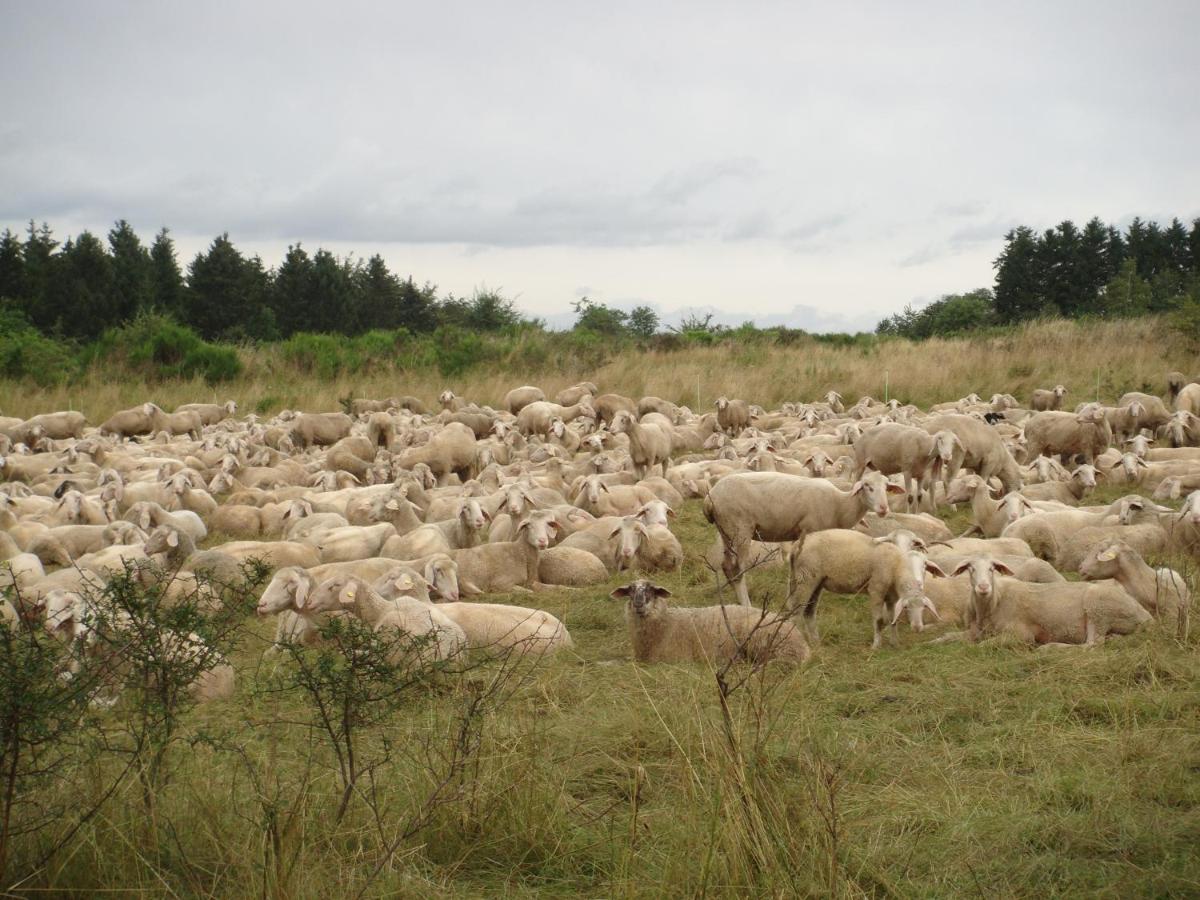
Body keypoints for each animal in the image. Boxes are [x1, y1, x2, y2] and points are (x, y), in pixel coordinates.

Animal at [945, 556, 1152, 648]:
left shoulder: (1021, 635)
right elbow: (947, 637)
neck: (994, 602)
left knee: (1092, 644)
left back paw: (1051, 648)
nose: (983, 587)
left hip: (1098, 608)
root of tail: (1146, 616)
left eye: (992, 569)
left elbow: (981, 645)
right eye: (970, 569)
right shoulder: (974, 631)